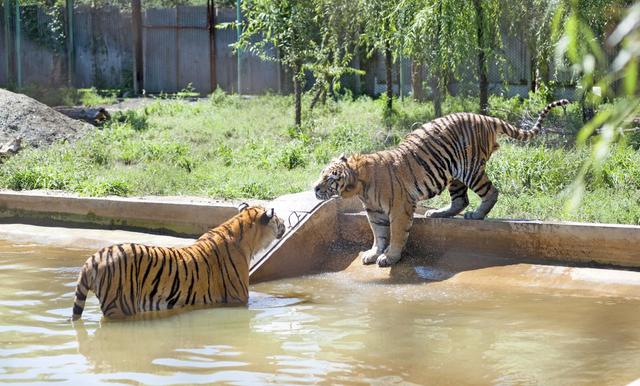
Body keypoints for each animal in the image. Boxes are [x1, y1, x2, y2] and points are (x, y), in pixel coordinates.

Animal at [312, 99, 568, 266]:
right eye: (321, 174)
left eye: (329, 178)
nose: (314, 188)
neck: (361, 187)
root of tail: (485, 116)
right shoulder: (374, 212)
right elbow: (379, 234)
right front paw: (374, 253)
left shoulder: (400, 208)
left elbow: (396, 234)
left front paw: (390, 257)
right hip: (454, 175)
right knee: (460, 200)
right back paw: (437, 213)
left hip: (470, 169)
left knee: (491, 192)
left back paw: (476, 215)